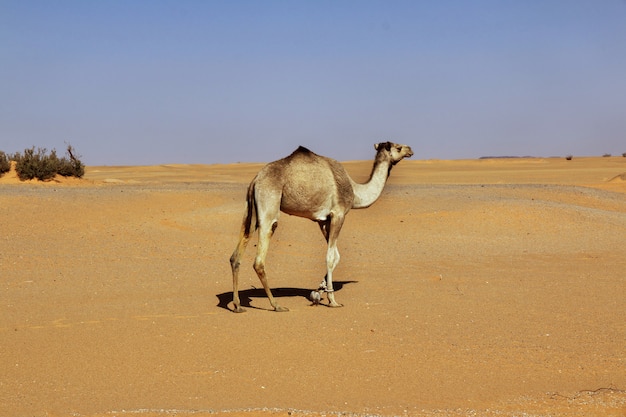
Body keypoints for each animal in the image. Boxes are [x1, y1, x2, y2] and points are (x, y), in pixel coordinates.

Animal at [227, 141, 412, 310]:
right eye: (398, 147)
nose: (410, 149)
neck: (355, 192)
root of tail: (255, 180)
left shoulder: (323, 221)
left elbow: (336, 256)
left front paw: (318, 292)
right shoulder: (338, 214)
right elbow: (330, 257)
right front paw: (332, 300)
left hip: (250, 211)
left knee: (236, 254)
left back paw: (237, 305)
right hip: (269, 204)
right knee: (259, 259)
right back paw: (276, 305)